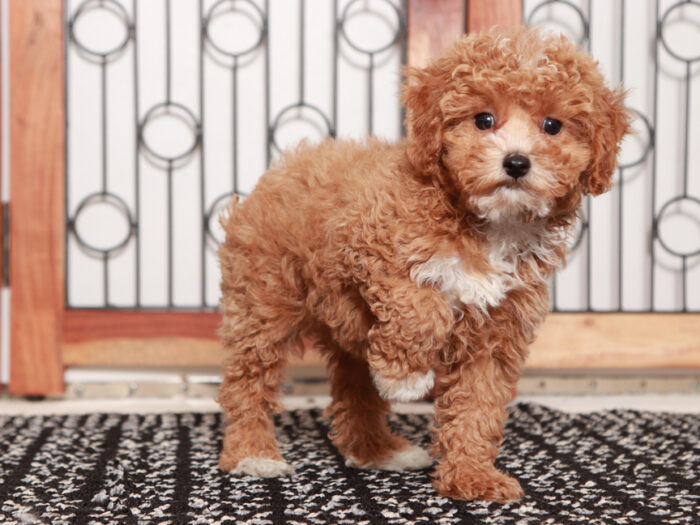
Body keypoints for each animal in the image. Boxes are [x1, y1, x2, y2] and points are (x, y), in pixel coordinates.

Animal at [215, 27, 628, 500]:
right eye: (483, 120)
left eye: (552, 125)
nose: (516, 162)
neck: (489, 225)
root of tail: (279, 170)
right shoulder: (367, 248)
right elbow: (421, 308)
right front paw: (406, 377)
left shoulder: (496, 329)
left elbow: (477, 404)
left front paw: (472, 475)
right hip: (263, 299)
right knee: (249, 377)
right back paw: (252, 452)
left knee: (356, 385)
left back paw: (376, 449)